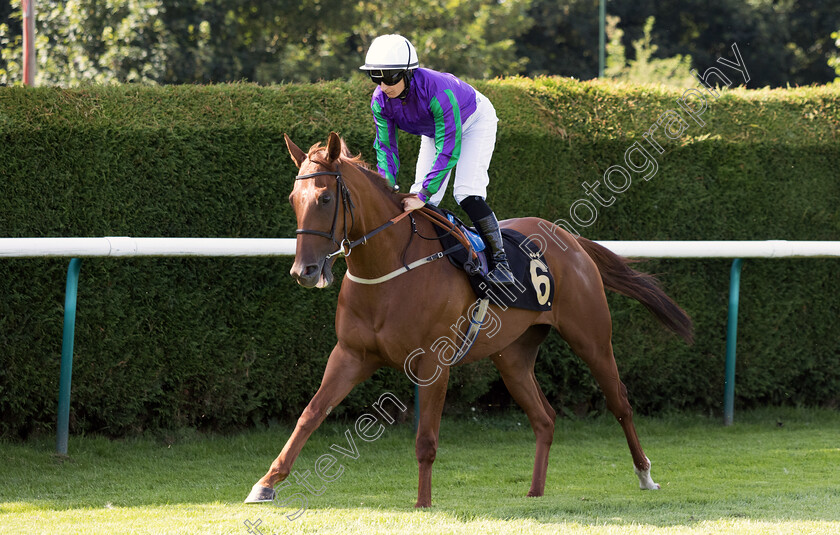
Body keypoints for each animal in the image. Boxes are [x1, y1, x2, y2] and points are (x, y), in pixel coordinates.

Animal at [246, 132, 692, 508]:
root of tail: (571, 239)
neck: (389, 269)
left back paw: (645, 475)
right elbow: (311, 414)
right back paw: (535, 491)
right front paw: (265, 483)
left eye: (324, 198)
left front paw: (423, 503)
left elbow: (426, 438)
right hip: (513, 358)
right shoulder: (351, 354)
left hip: (592, 339)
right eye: (293, 197)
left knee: (620, 403)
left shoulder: (433, 362)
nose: (303, 271)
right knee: (544, 418)